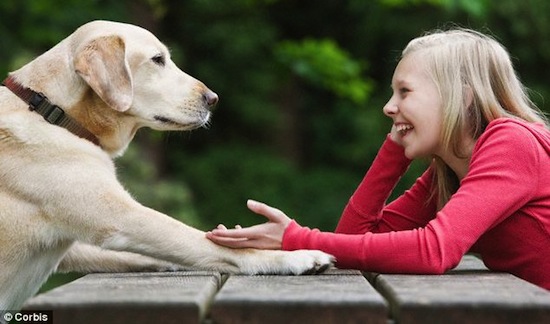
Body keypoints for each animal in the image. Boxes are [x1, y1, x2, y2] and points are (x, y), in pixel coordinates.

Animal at [0, 20, 334, 312]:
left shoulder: (75, 248)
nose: (213, 99)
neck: (51, 110)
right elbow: (208, 243)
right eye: (157, 59)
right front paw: (296, 257)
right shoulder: (122, 217)